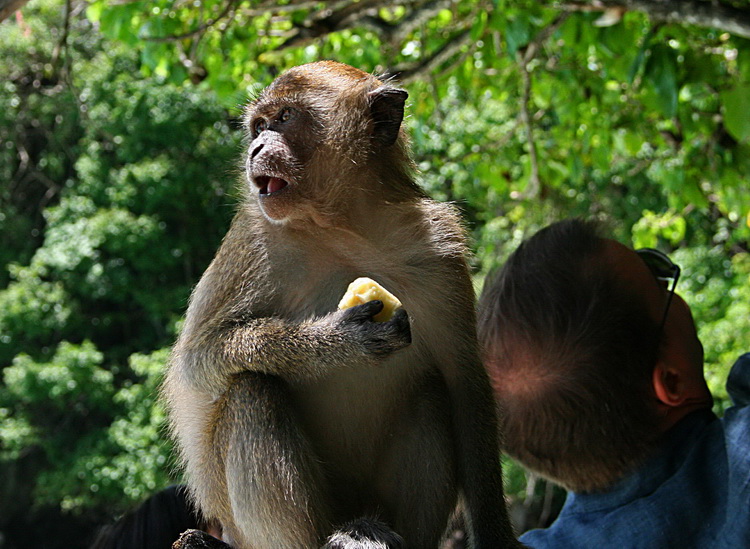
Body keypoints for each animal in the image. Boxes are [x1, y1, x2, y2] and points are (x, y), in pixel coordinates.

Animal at [164, 61, 520, 548]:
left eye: (284, 118)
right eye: (258, 126)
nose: (256, 147)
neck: (341, 225)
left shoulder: (438, 251)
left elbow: (464, 382)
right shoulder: (252, 240)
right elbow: (198, 361)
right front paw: (338, 341)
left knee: (432, 392)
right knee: (251, 390)